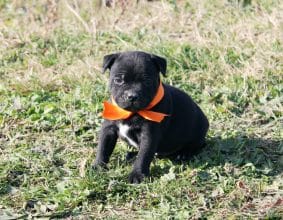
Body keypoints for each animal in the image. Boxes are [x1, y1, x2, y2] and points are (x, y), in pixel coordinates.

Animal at [94, 50, 210, 183]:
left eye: (147, 82)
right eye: (118, 80)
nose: (132, 96)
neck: (133, 112)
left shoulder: (148, 135)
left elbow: (144, 155)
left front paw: (137, 175)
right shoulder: (108, 129)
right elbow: (103, 148)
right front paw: (98, 166)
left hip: (198, 134)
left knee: (197, 145)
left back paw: (183, 154)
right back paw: (131, 155)